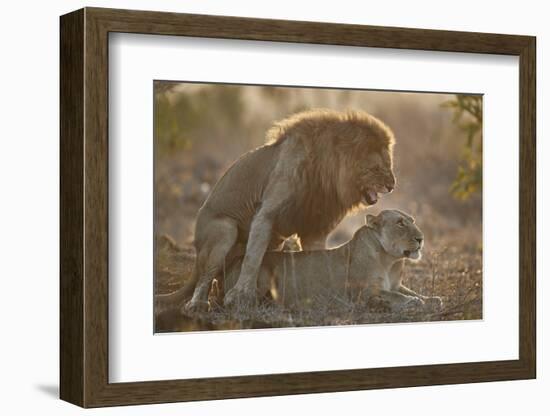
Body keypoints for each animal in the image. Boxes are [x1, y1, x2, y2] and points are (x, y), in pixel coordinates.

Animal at [157, 109, 398, 314]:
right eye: (377, 168)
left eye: (389, 165)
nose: (391, 186)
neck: (326, 173)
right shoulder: (266, 214)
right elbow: (252, 258)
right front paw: (240, 296)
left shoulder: (316, 228)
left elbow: (317, 257)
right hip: (224, 230)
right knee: (204, 277)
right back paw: (198, 304)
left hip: (274, 241)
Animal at [224, 210, 444, 310]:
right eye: (400, 223)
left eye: (412, 221)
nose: (421, 238)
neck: (390, 261)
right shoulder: (362, 292)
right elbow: (396, 296)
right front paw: (412, 302)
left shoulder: (396, 284)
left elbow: (412, 292)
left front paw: (433, 299)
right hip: (259, 275)